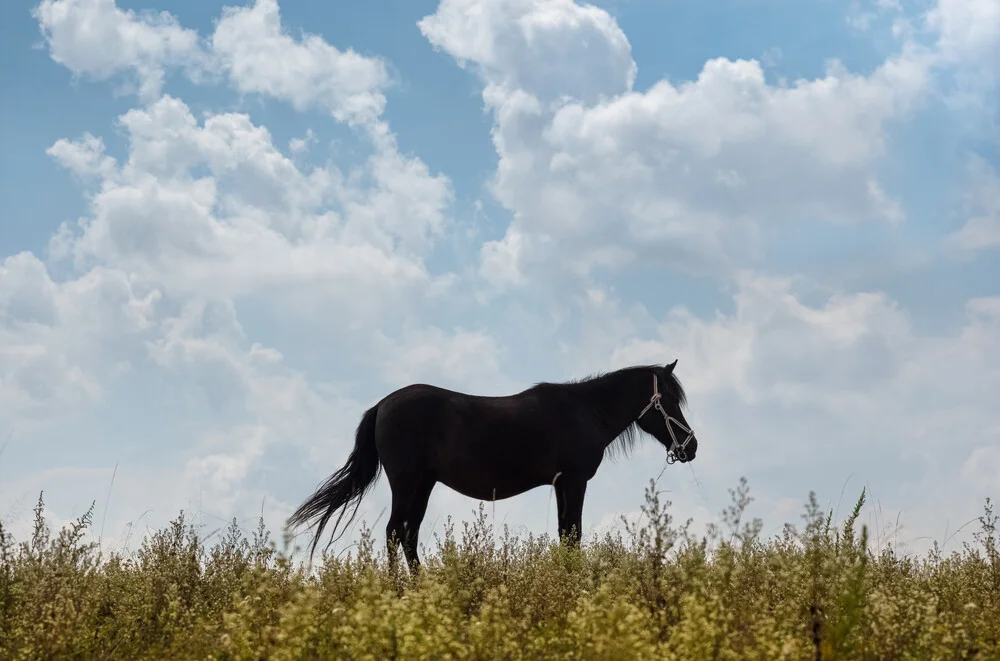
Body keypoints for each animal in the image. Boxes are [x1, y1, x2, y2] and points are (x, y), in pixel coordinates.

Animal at [286, 358, 700, 568]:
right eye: (670, 400)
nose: (691, 447)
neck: (584, 411)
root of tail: (382, 405)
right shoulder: (574, 481)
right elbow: (574, 535)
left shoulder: (561, 484)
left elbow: (566, 535)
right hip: (405, 482)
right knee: (392, 533)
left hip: (424, 485)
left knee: (408, 534)